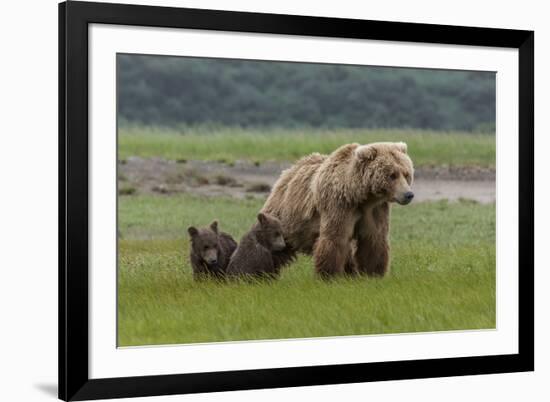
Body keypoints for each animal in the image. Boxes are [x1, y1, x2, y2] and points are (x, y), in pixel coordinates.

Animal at [264, 143, 414, 278]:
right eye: (392, 175)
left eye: (406, 174)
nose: (408, 194)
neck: (359, 195)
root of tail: (290, 170)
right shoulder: (339, 205)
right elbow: (335, 238)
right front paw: (329, 275)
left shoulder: (374, 209)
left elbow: (373, 239)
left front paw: (373, 273)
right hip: (286, 216)